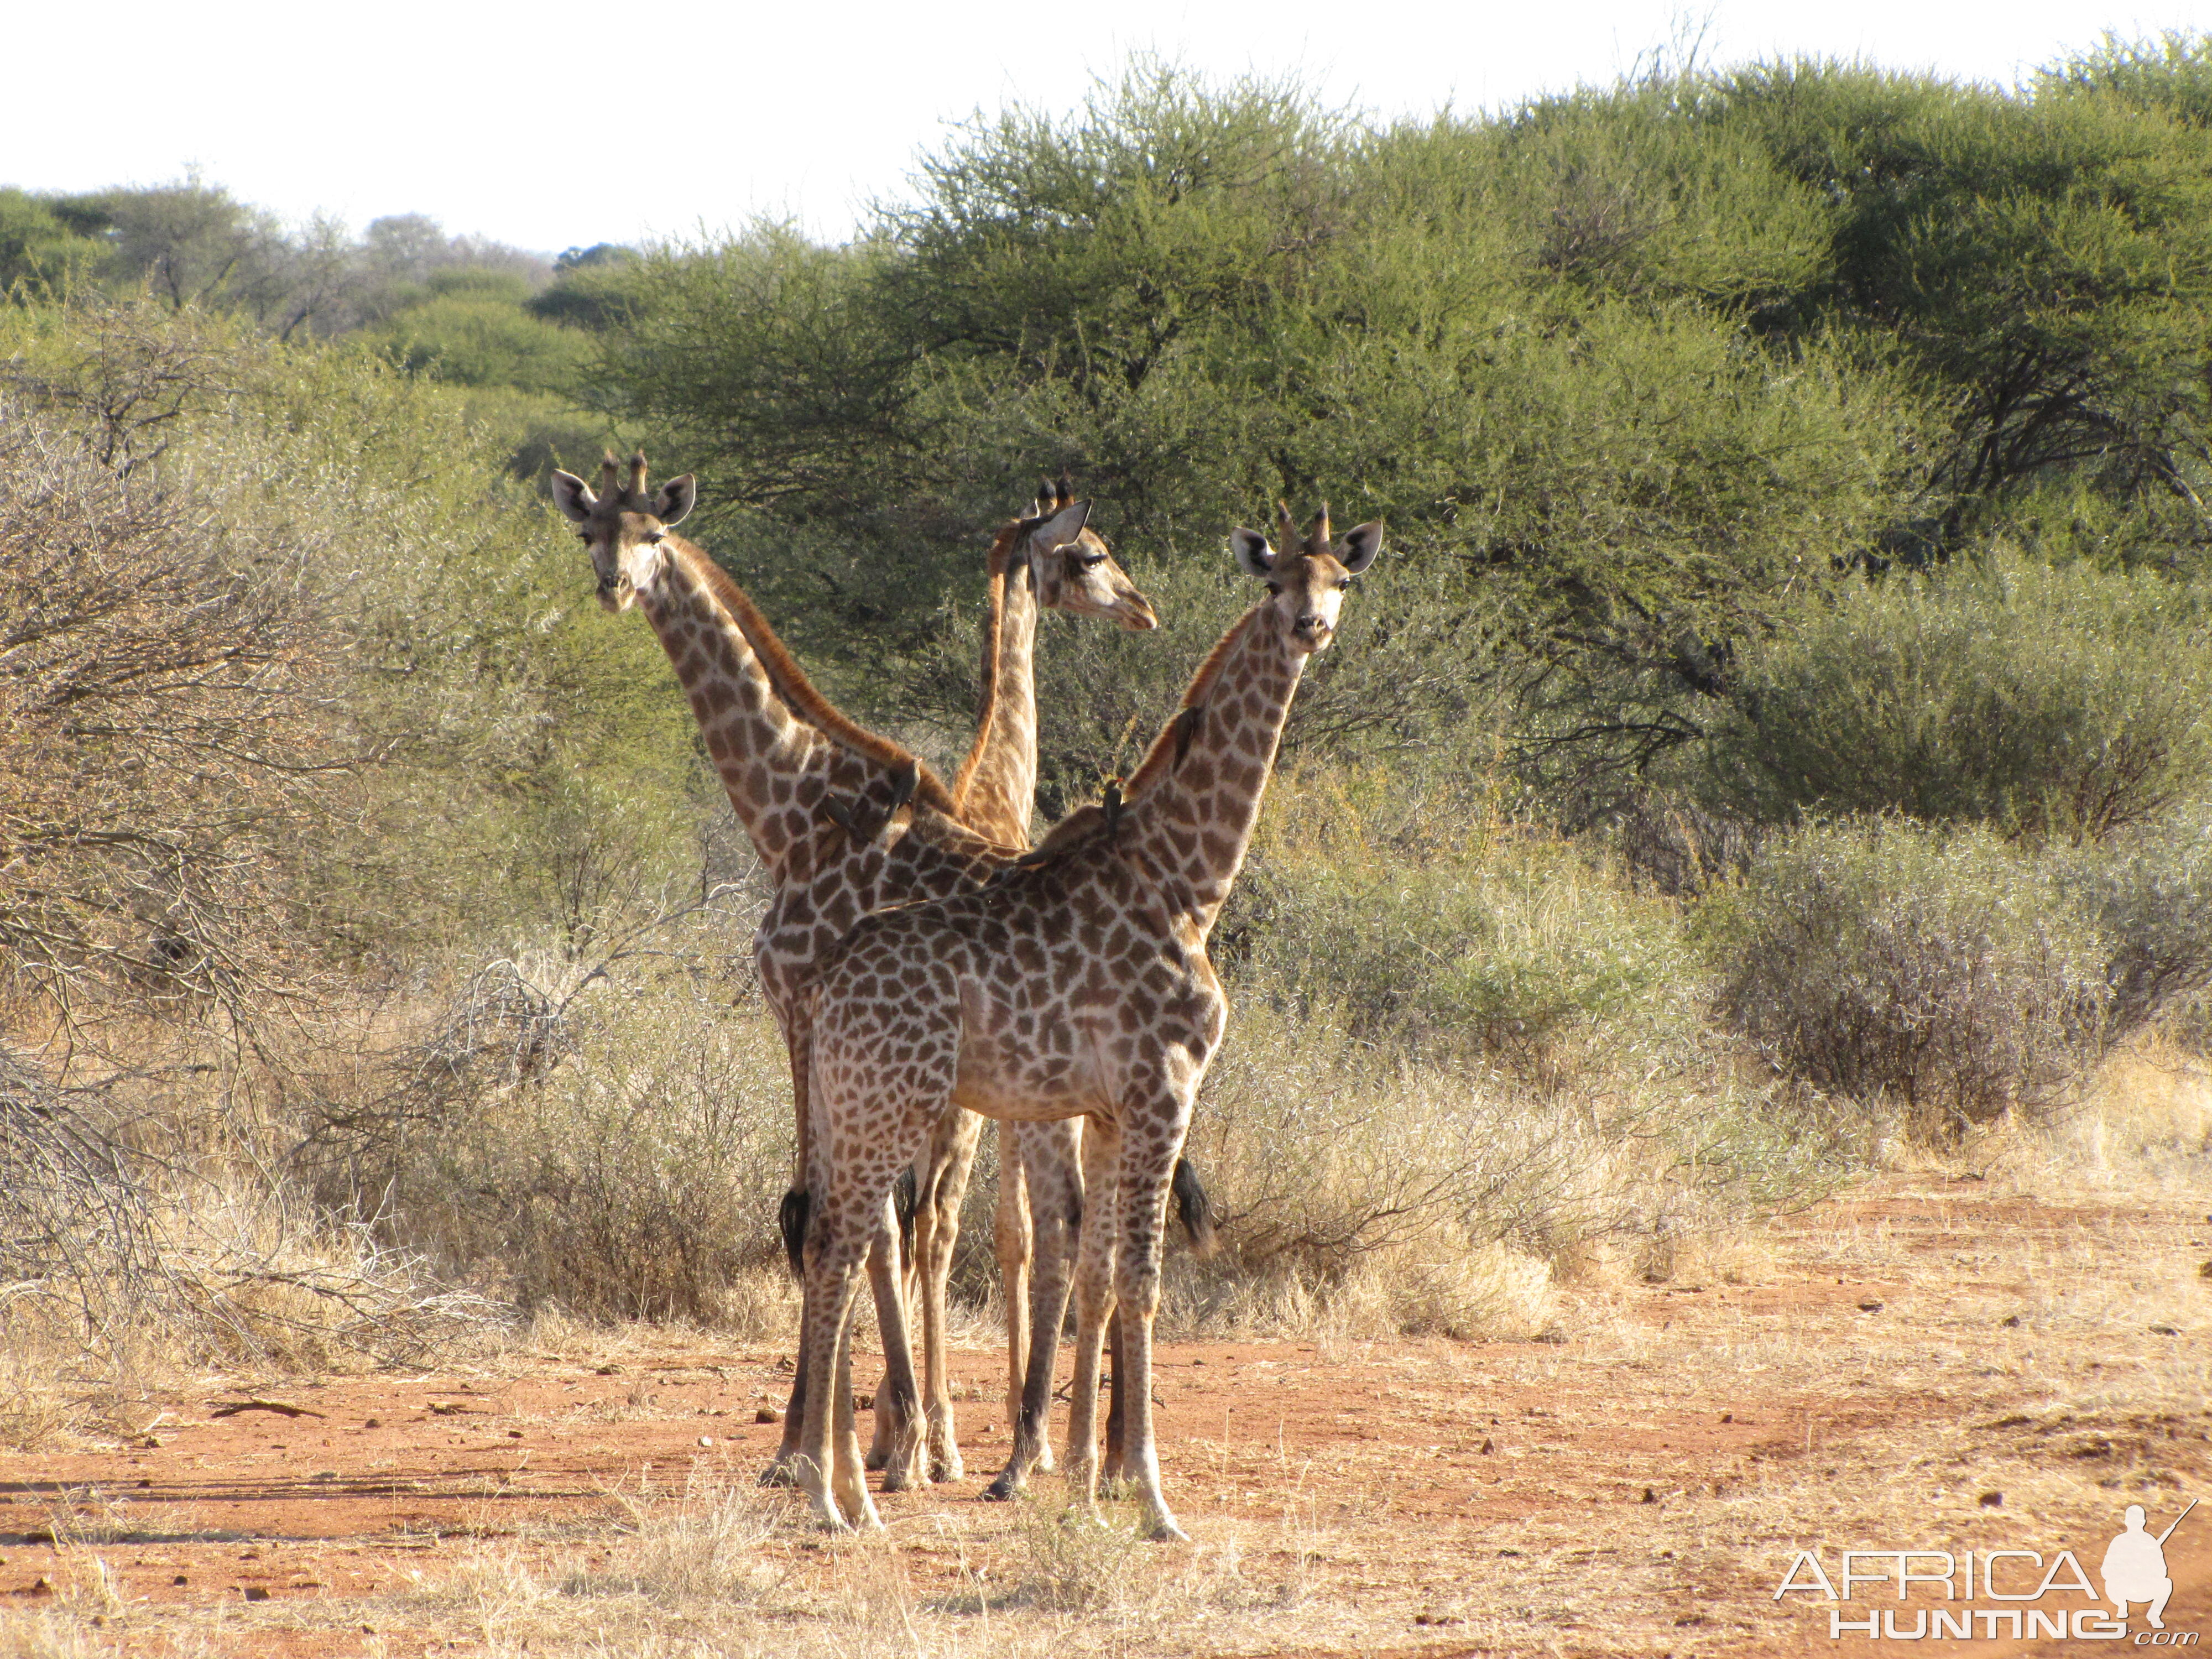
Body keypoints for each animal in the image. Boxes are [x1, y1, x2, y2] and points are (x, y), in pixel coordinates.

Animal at [553, 451, 1159, 1495]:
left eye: (656, 534)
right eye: (591, 531)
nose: (615, 586)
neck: (793, 814)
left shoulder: (816, 1016)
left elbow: (851, 1220)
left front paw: (853, 1445)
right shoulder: (803, 1022)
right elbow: (832, 1215)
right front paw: (863, 1440)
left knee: (1054, 1224)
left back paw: (1048, 1448)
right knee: (1076, 1224)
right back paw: (1086, 1449)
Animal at [796, 504, 1380, 1531]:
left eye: (1340, 581)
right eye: (1275, 584)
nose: (1310, 627)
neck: (1189, 882)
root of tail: (826, 980)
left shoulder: (1107, 1111)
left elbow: (1103, 1278)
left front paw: (1086, 1480)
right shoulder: (1165, 1088)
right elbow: (1144, 1284)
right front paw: (1149, 1498)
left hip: (846, 1108)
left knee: (842, 1244)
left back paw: (851, 1494)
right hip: (889, 1111)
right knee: (841, 1249)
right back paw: (840, 1501)